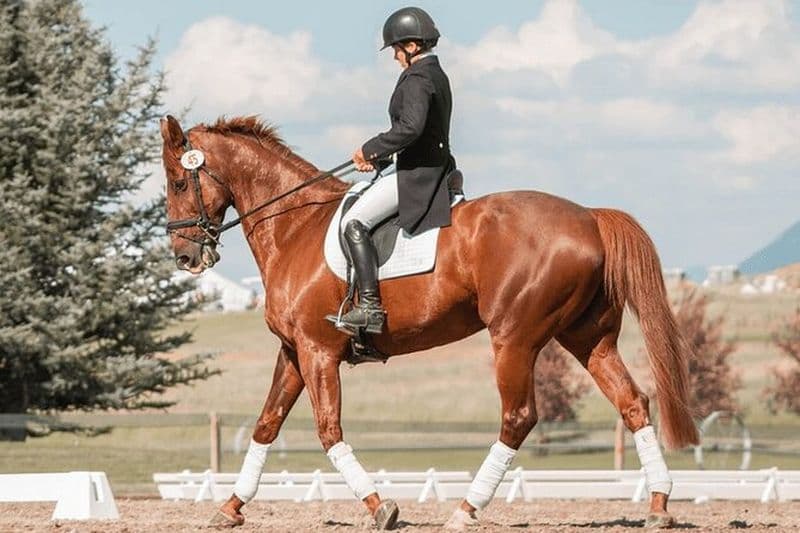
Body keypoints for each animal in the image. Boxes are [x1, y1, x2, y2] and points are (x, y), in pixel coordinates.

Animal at [160, 114, 698, 530]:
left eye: (180, 182)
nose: (185, 257)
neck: (294, 226)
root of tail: (589, 217)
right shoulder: (294, 351)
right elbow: (267, 424)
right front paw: (230, 508)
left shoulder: (318, 351)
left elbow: (328, 430)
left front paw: (381, 508)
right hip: (588, 338)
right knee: (632, 403)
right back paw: (658, 505)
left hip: (514, 338)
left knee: (518, 417)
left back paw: (466, 510)